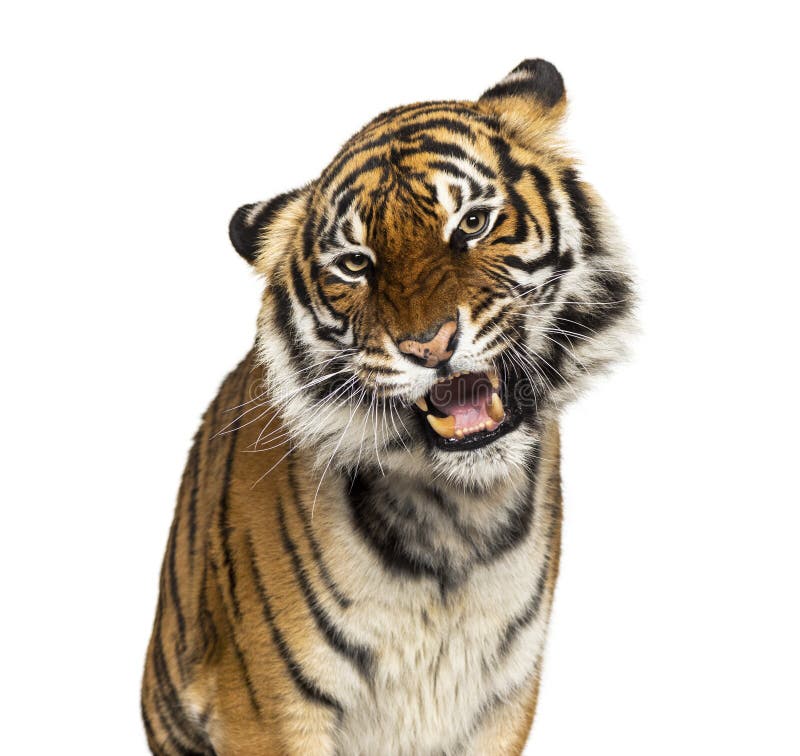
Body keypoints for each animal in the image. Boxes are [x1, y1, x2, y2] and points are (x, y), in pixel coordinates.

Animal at [141, 60, 636, 756]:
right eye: (355, 264)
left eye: (472, 223)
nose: (429, 345)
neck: (457, 519)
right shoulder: (267, 709)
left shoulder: (503, 702)